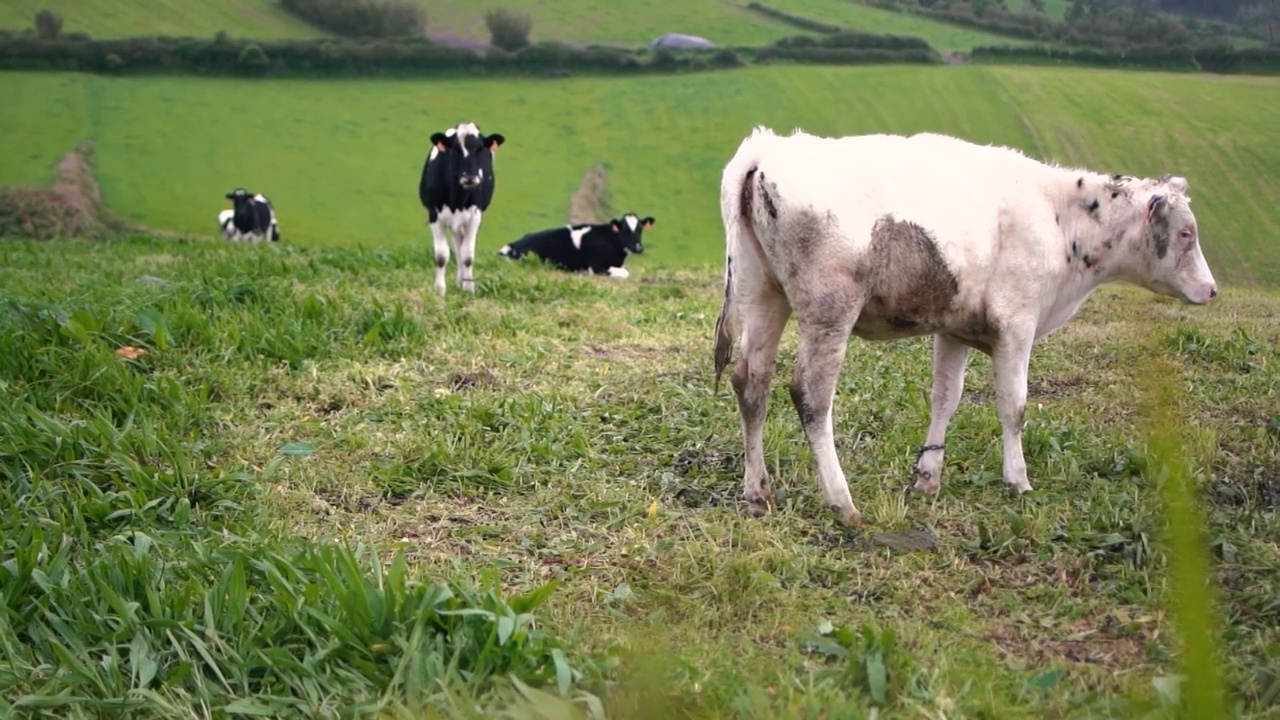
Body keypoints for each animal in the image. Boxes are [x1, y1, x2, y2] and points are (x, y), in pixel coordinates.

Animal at [417, 121, 501, 293]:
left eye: (480, 149)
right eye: (455, 149)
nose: (469, 177)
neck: (457, 199)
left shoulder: (475, 216)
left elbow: (467, 255)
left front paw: (468, 287)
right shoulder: (434, 215)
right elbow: (442, 256)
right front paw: (439, 289)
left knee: (461, 248)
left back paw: (461, 280)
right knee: (457, 247)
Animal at [711, 126, 1218, 525]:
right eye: (1186, 233)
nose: (1212, 290)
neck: (1057, 217)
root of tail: (768, 148)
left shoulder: (952, 329)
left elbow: (945, 398)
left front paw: (927, 478)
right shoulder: (1017, 323)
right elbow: (1013, 405)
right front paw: (1018, 480)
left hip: (763, 294)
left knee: (751, 383)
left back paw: (757, 493)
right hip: (828, 308)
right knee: (811, 396)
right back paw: (842, 501)